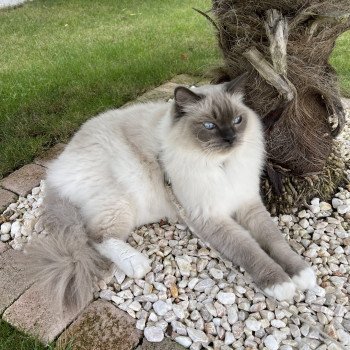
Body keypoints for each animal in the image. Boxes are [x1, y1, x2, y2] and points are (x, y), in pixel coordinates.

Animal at [26, 75, 318, 310]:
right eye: (210, 126)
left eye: (237, 120)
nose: (231, 139)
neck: (221, 166)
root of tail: (54, 172)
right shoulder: (209, 217)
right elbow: (251, 250)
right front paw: (280, 284)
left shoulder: (248, 204)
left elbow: (275, 241)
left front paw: (302, 274)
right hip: (124, 198)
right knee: (95, 236)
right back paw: (138, 264)